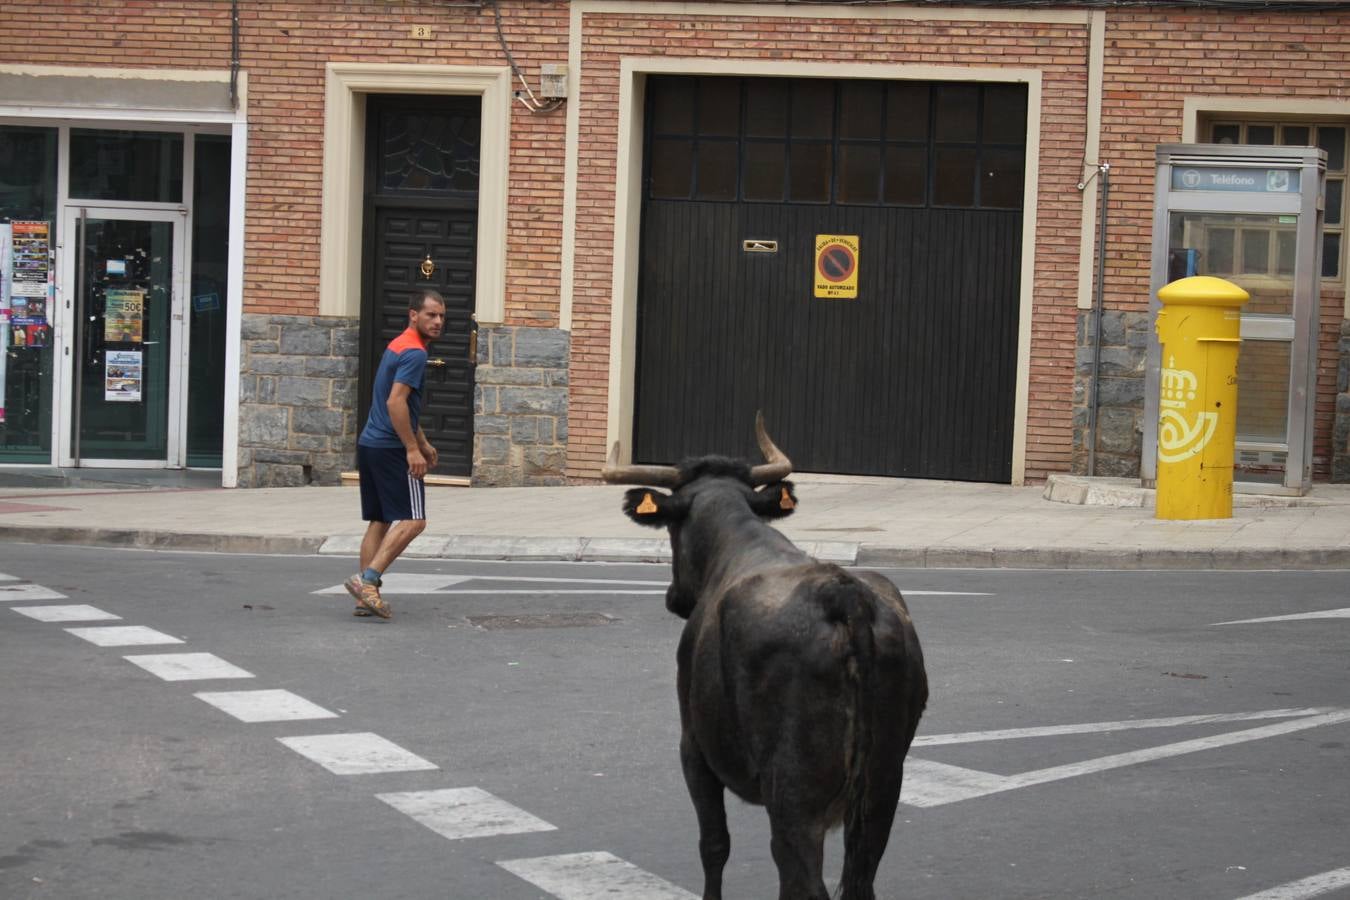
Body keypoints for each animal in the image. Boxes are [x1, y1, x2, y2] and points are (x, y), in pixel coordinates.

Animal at [604, 418, 928, 900]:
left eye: (672, 531)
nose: (673, 597)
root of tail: (842, 594)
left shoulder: (694, 748)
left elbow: (714, 844)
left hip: (793, 793)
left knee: (801, 879)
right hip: (883, 785)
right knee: (858, 880)